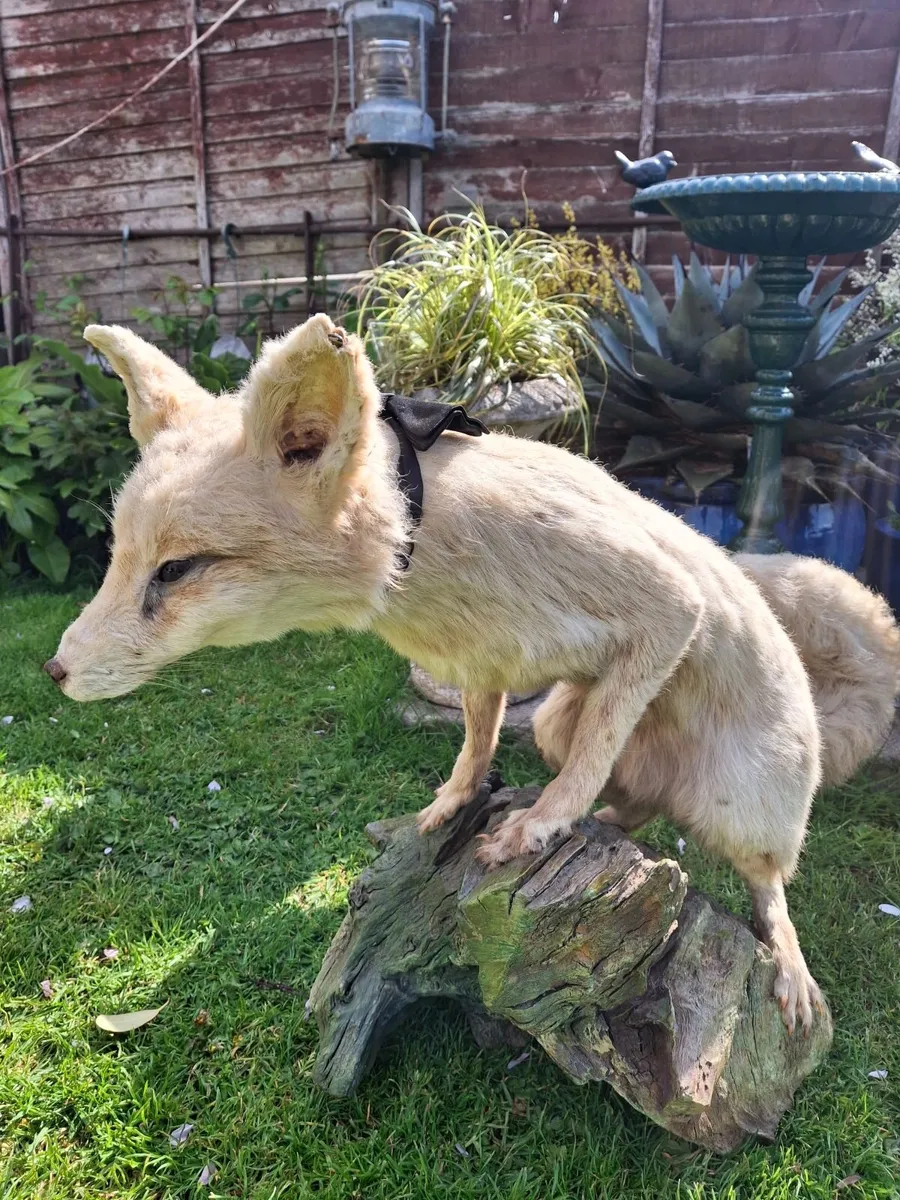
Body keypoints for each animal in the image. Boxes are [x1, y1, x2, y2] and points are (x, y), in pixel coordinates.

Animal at [46, 313, 900, 1035]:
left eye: (176, 570)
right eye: (119, 557)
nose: (54, 671)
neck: (419, 541)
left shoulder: (665, 611)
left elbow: (587, 763)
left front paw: (541, 824)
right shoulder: (486, 660)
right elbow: (477, 746)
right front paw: (461, 805)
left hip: (739, 804)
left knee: (763, 884)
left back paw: (786, 964)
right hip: (556, 719)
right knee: (636, 804)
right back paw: (601, 819)